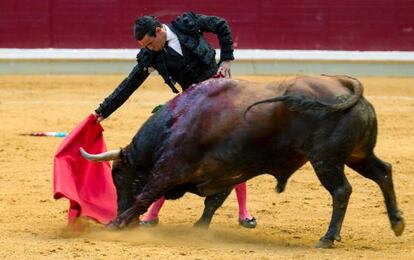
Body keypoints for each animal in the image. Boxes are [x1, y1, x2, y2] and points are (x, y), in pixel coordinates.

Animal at [81, 74, 404, 248]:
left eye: (118, 176)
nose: (126, 222)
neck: (178, 120)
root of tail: (345, 85)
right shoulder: (225, 171)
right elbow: (213, 202)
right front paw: (198, 229)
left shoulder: (170, 168)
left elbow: (146, 195)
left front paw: (114, 224)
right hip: (356, 155)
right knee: (383, 172)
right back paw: (397, 222)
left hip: (325, 159)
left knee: (341, 190)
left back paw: (327, 238)